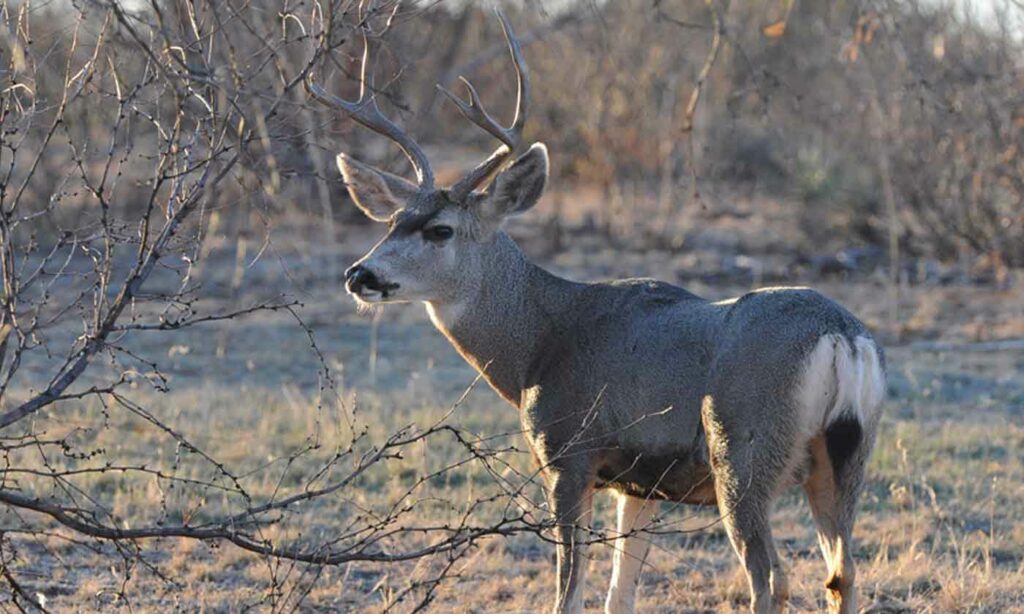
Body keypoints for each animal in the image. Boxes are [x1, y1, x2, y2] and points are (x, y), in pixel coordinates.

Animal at [307, 10, 884, 614]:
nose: (359, 275)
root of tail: (841, 336)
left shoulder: (570, 453)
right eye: (392, 223)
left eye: (439, 230)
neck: (537, 348)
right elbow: (617, 595)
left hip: (744, 451)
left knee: (772, 576)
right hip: (847, 457)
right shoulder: (640, 482)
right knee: (843, 572)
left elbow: (569, 592)